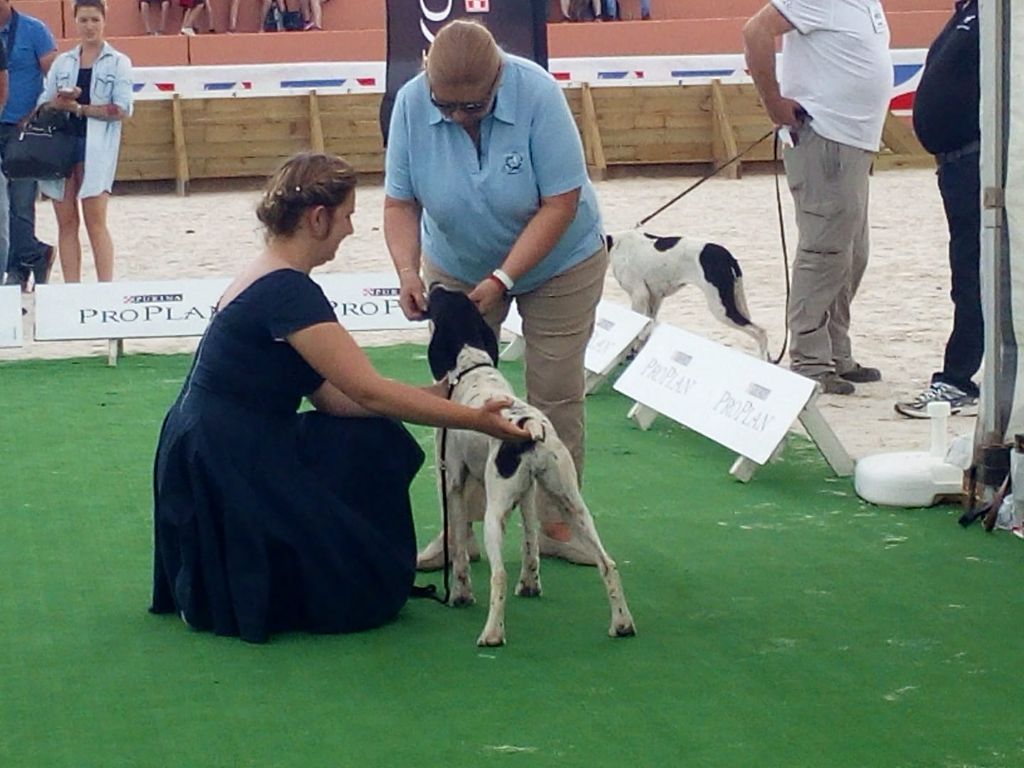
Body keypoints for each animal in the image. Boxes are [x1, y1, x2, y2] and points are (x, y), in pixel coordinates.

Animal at [421, 286, 630, 647]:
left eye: (439, 300)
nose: (434, 287)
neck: (473, 368)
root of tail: (529, 427)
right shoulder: (529, 492)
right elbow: (531, 540)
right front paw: (530, 584)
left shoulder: (454, 483)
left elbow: (459, 548)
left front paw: (460, 595)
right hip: (572, 505)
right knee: (608, 563)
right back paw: (622, 624)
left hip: (495, 513)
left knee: (499, 575)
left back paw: (492, 633)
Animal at [602, 228, 765, 360]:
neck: (614, 244)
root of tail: (728, 257)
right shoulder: (654, 297)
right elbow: (648, 327)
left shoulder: (639, 295)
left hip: (721, 308)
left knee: (760, 332)